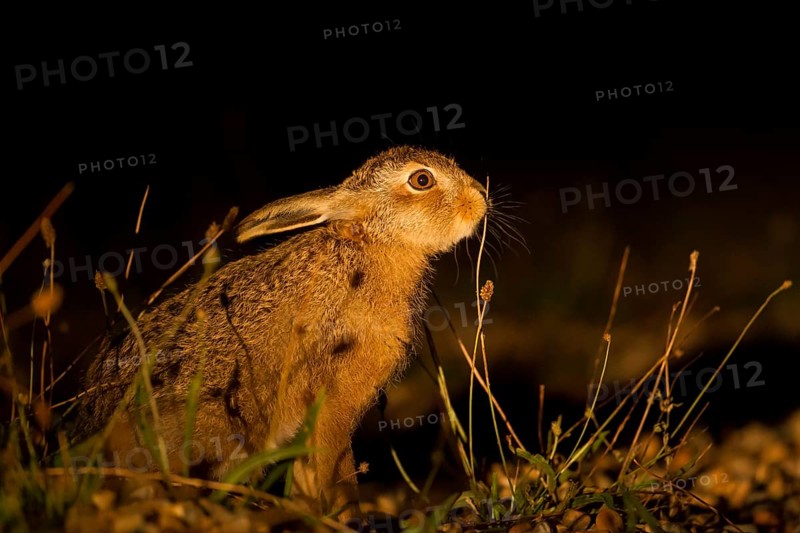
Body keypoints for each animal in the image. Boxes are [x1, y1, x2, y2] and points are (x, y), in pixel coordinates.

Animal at [75, 145, 488, 518]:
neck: (376, 245)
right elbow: (336, 470)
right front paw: (347, 516)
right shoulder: (334, 402)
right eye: (422, 180)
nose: (480, 198)